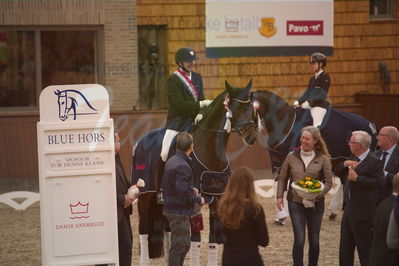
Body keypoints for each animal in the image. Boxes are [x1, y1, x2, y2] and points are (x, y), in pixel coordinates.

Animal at [133, 80, 258, 264]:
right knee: (143, 229)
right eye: (235, 109)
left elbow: (213, 241)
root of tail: (140, 142)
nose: (252, 138)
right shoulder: (195, 200)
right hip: (144, 193)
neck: (211, 151)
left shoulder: (216, 199)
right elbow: (196, 241)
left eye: (251, 108)